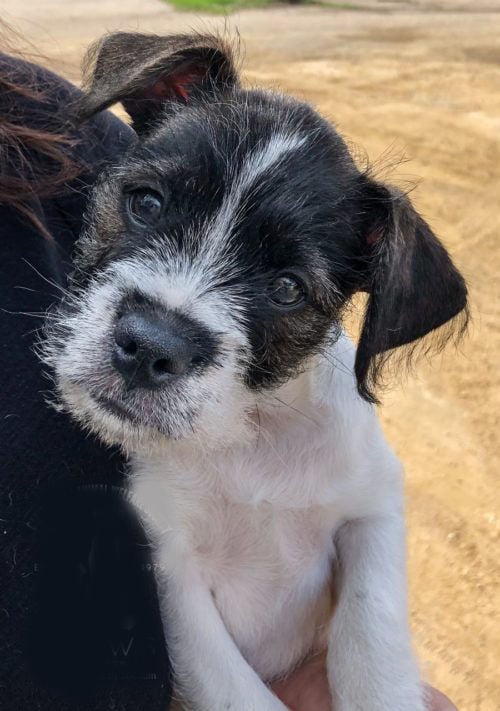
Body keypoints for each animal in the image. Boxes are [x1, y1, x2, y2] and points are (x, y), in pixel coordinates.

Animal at [41, 34, 466, 711]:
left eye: (287, 289)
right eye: (146, 203)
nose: (150, 344)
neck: (249, 433)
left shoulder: (374, 507)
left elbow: (371, 634)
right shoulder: (173, 574)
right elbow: (241, 693)